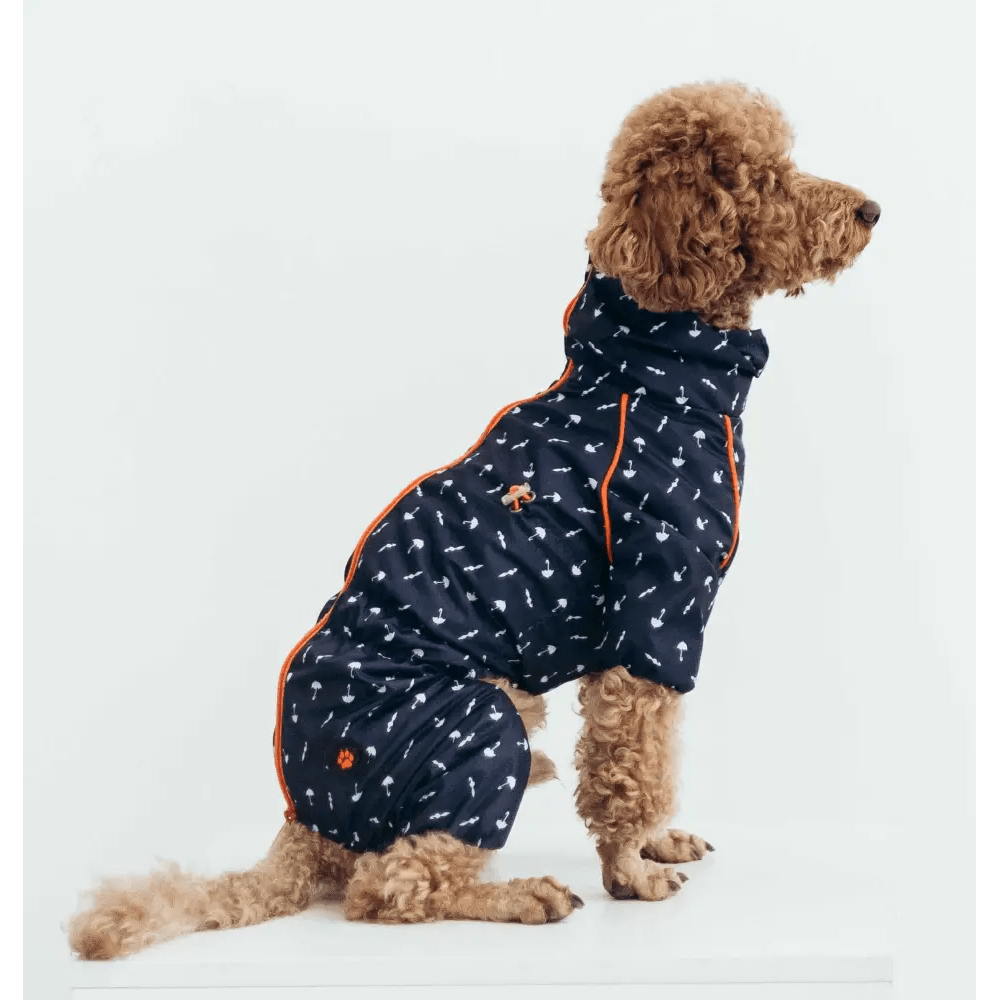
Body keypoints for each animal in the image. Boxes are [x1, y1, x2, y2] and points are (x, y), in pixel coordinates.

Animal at [67, 80, 878, 957]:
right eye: (768, 178)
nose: (871, 210)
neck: (648, 371)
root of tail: (301, 825)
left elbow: (641, 759)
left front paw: (659, 842)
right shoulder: (653, 615)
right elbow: (634, 762)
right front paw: (632, 870)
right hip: (481, 720)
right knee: (389, 885)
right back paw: (522, 895)